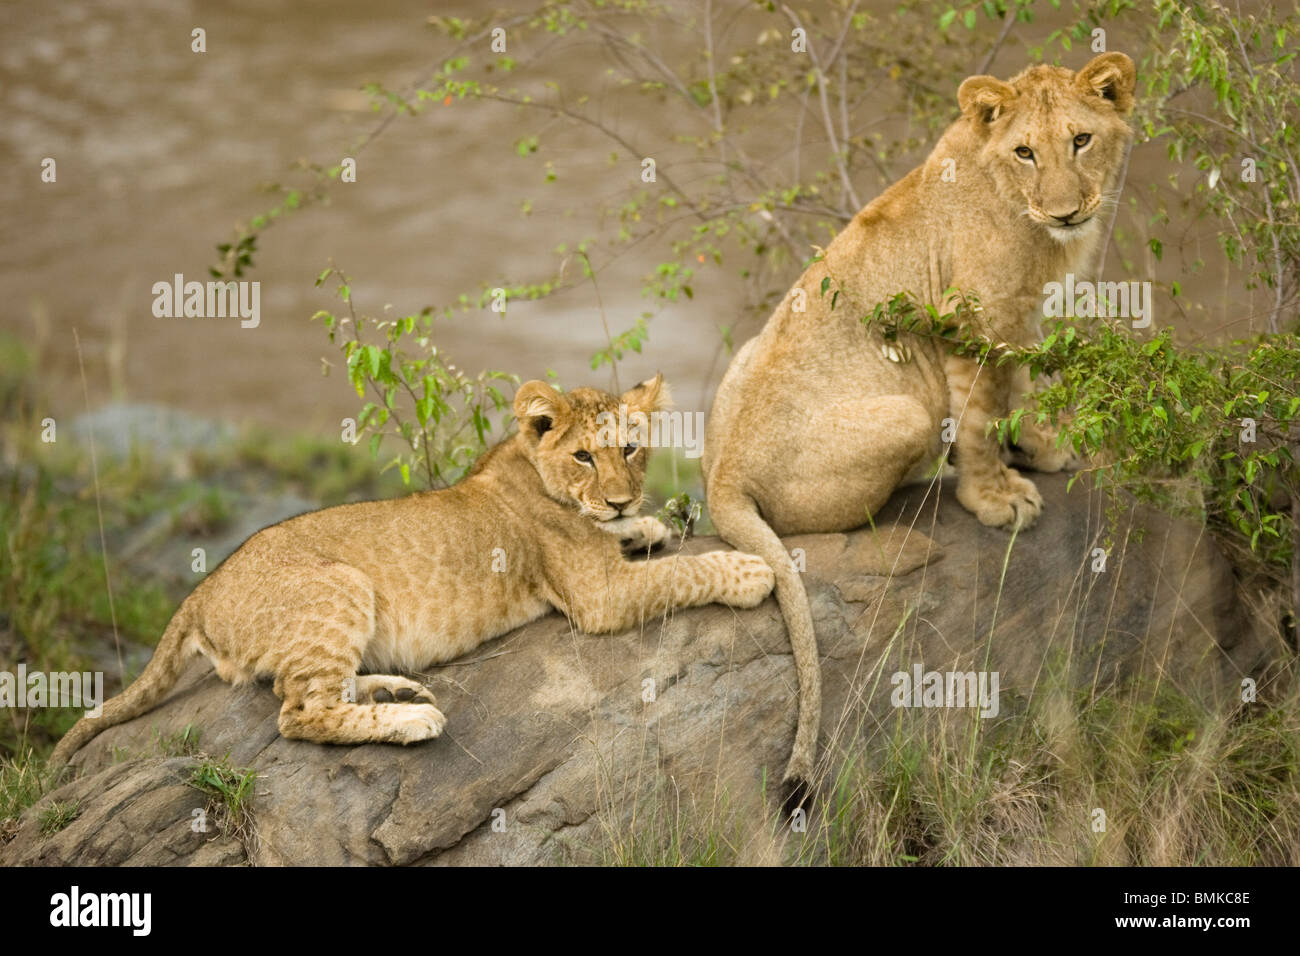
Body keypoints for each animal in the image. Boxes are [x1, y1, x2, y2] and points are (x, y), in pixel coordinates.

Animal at [51, 375, 775, 768]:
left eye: (629, 449)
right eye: (584, 457)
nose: (624, 498)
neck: (529, 469)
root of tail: (201, 590)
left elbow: (638, 545)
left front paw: (644, 527)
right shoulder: (598, 598)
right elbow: (683, 575)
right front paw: (750, 570)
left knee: (313, 691)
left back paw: (395, 692)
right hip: (338, 586)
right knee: (298, 714)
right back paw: (412, 721)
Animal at [703, 53, 1136, 794]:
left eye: (1081, 140)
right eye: (1026, 151)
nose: (1067, 211)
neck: (1026, 219)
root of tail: (723, 478)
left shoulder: (1020, 318)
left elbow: (1022, 386)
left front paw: (1043, 447)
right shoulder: (967, 322)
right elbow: (980, 415)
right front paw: (995, 499)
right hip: (905, 412)